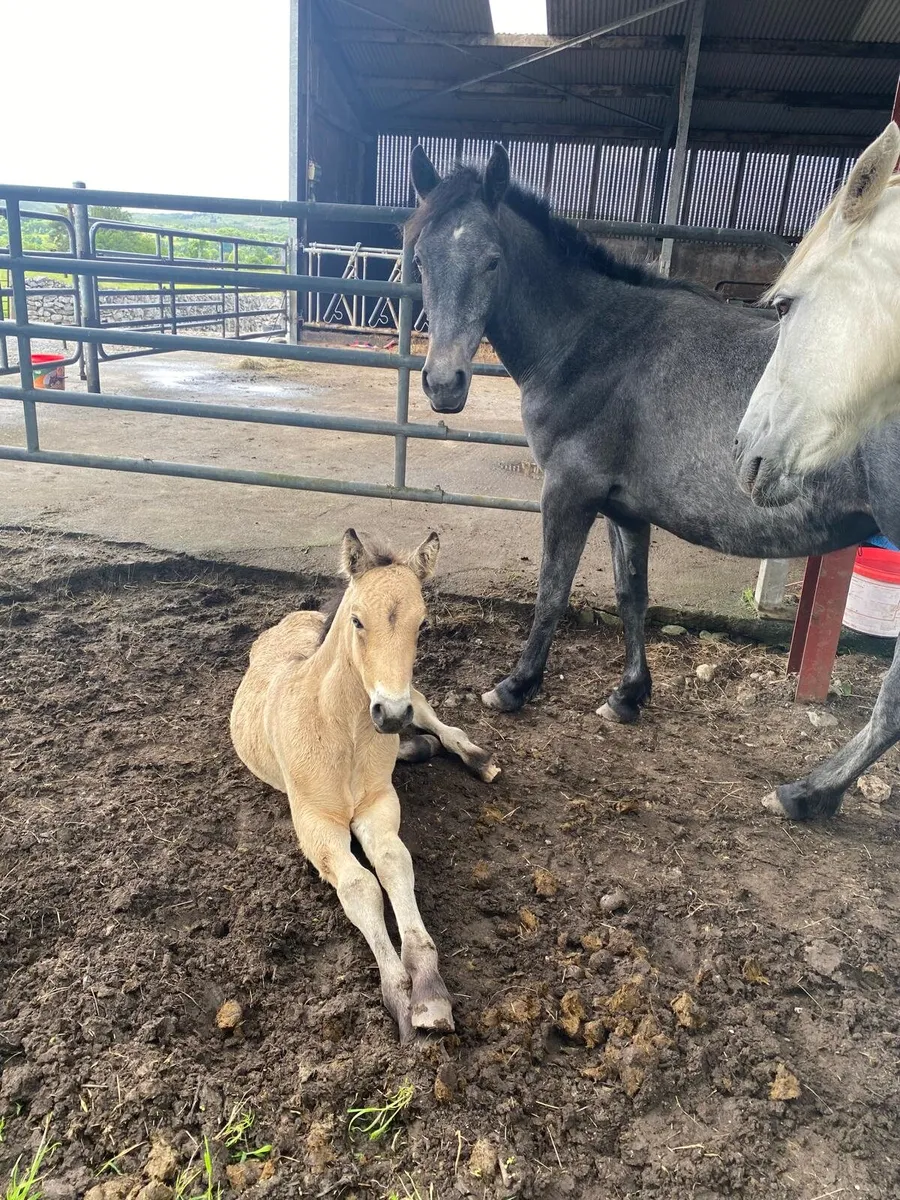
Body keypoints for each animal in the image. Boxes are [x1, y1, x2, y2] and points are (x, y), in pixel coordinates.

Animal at [229, 529, 498, 1042]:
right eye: (357, 620)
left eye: (422, 622)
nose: (388, 714)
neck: (343, 733)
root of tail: (296, 616)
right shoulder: (315, 823)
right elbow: (360, 886)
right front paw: (400, 995)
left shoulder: (378, 805)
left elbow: (394, 864)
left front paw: (428, 991)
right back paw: (418, 747)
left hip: (415, 696)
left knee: (439, 724)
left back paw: (475, 759)